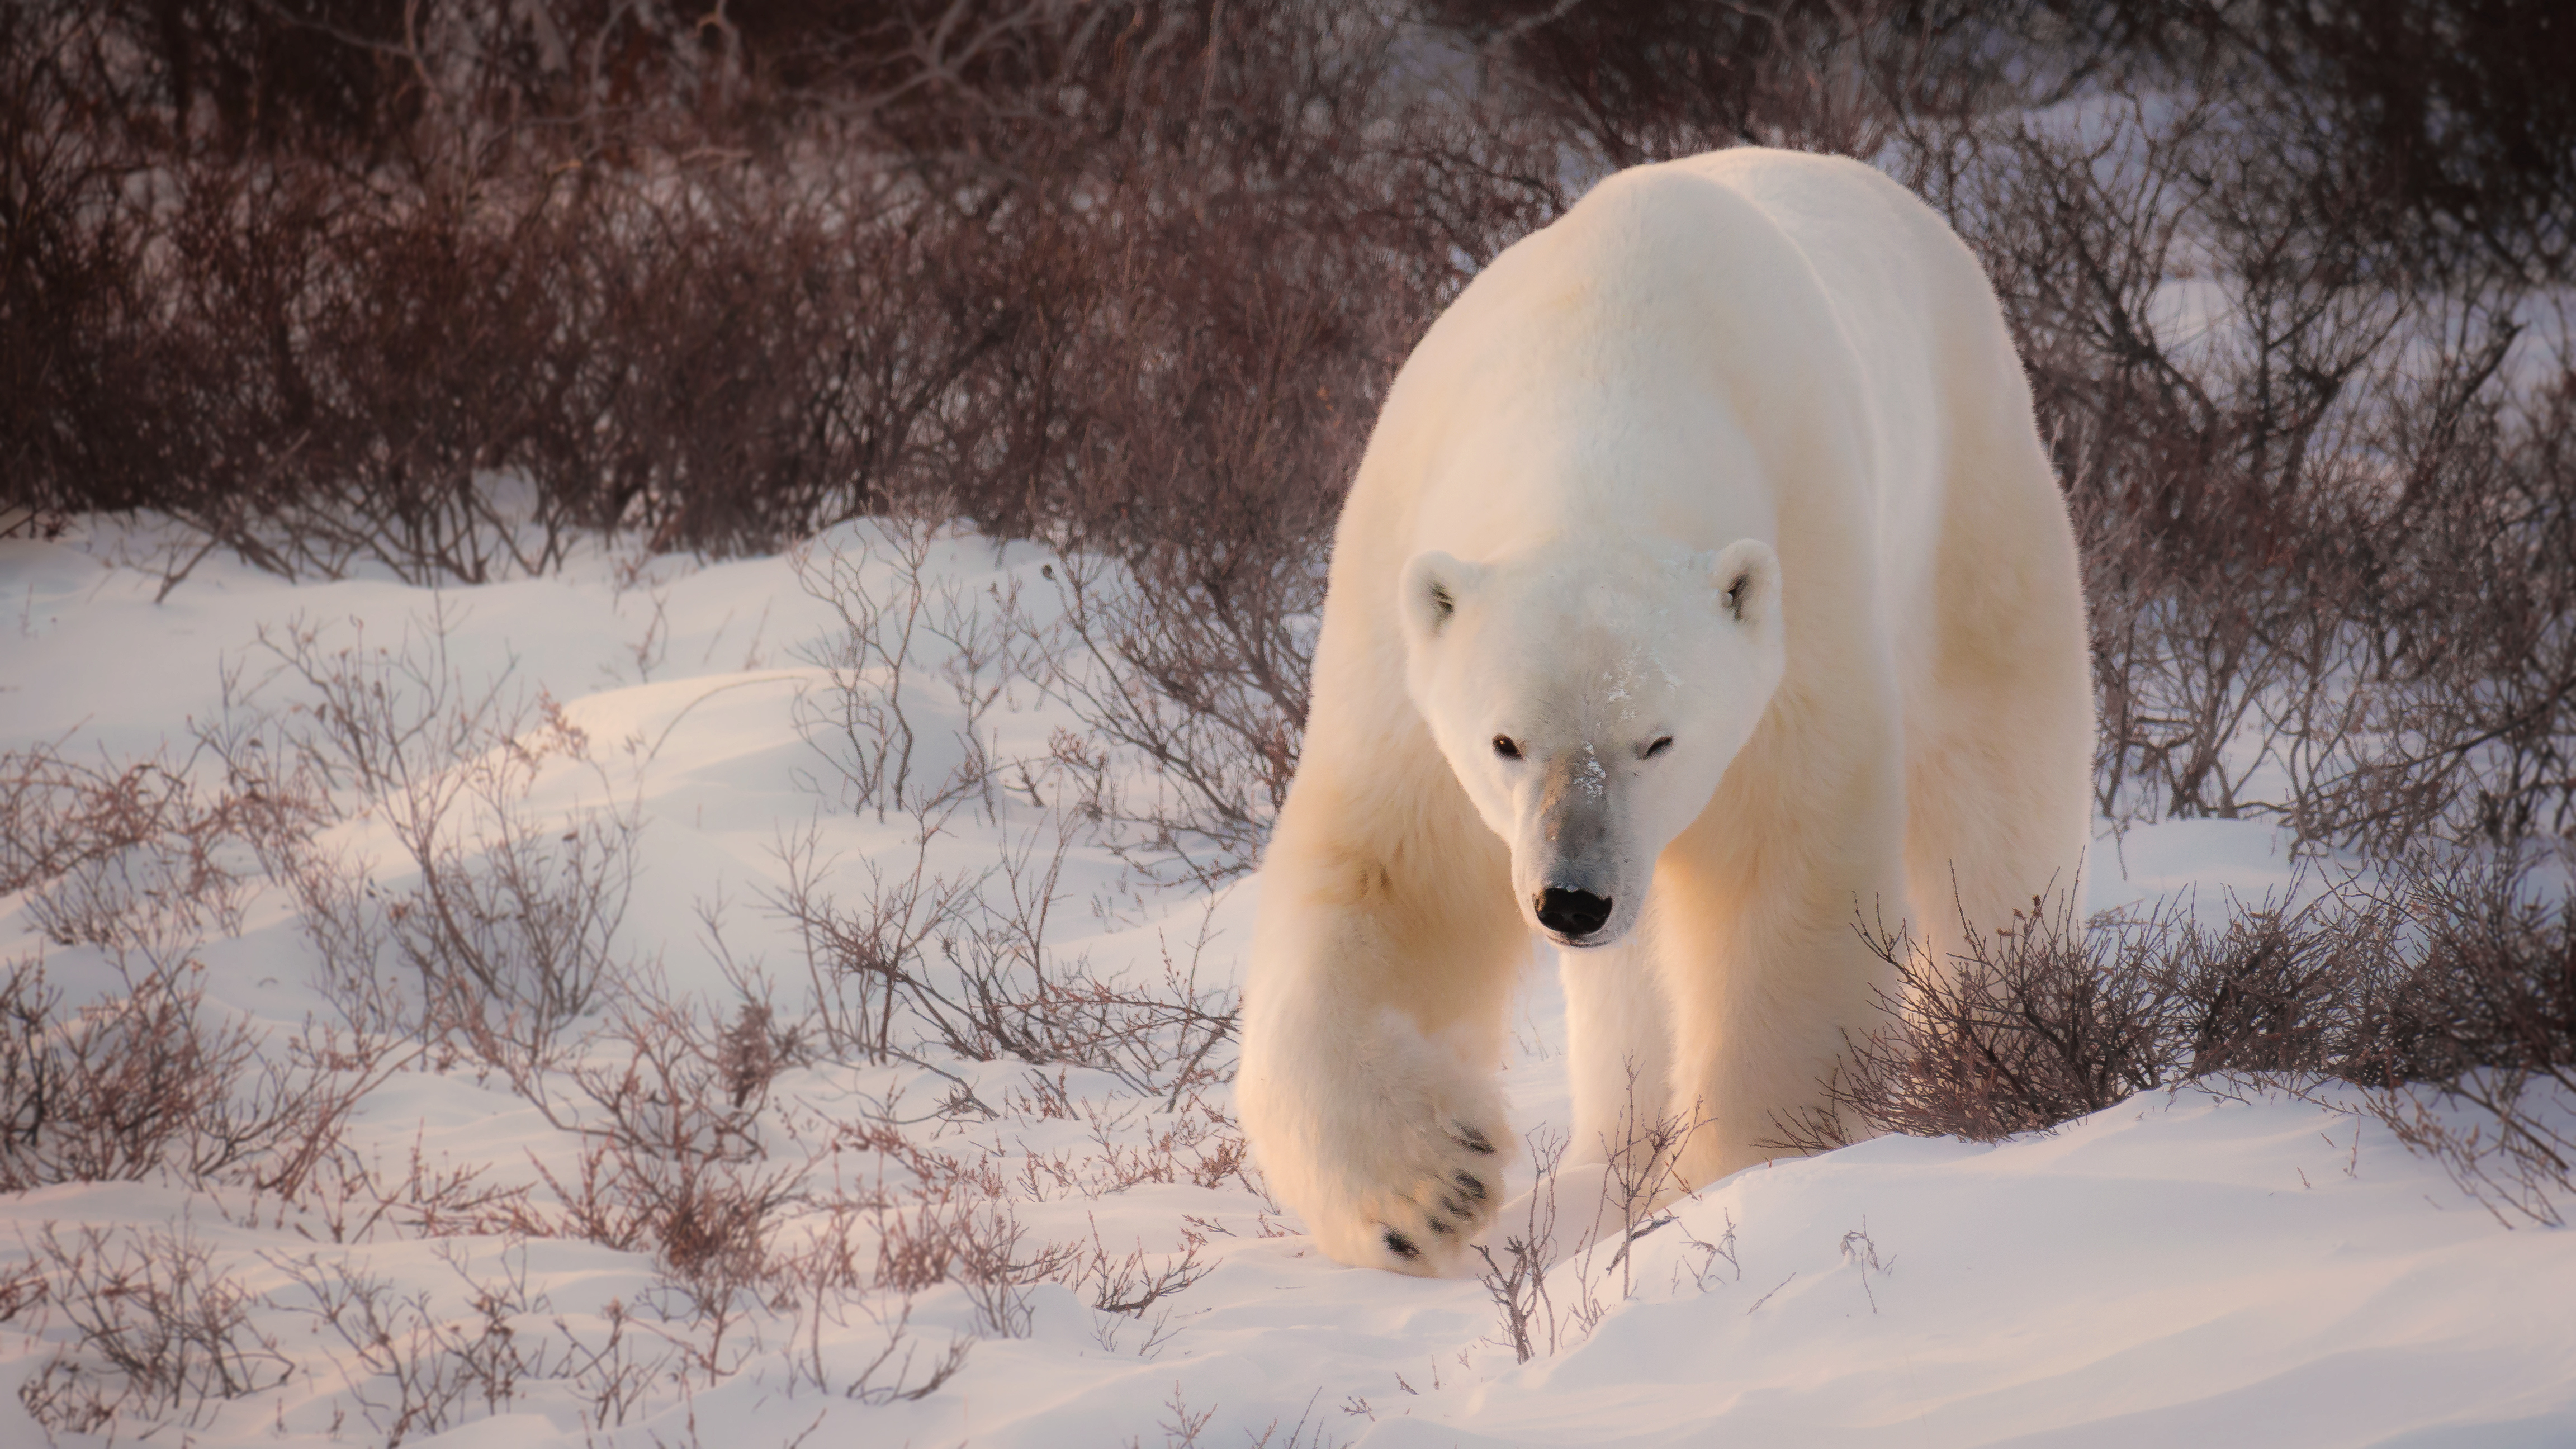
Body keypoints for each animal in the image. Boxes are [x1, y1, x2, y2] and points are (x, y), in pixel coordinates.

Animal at [1236, 152, 2102, 1268]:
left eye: (1658, 739)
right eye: (1504, 741)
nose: (1571, 900)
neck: (1602, 374)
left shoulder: (1803, 581)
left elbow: (1786, 866)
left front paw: (1753, 1171)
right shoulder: (1403, 615)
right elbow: (1390, 871)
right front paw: (1427, 1187)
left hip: (1974, 509)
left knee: (1998, 805)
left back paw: (2003, 1049)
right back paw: (1616, 1145)